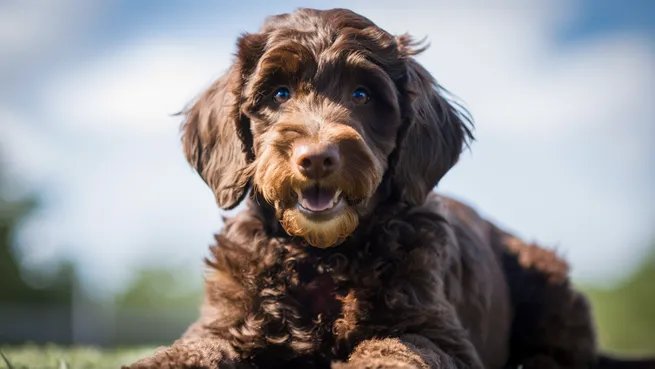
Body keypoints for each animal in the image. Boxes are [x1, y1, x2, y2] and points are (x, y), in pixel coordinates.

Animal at [127, 7, 655, 368]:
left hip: (548, 281)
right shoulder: (226, 322)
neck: (323, 257)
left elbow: (396, 350)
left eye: (362, 94)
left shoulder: (434, 331)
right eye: (279, 93)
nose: (316, 157)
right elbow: (190, 351)